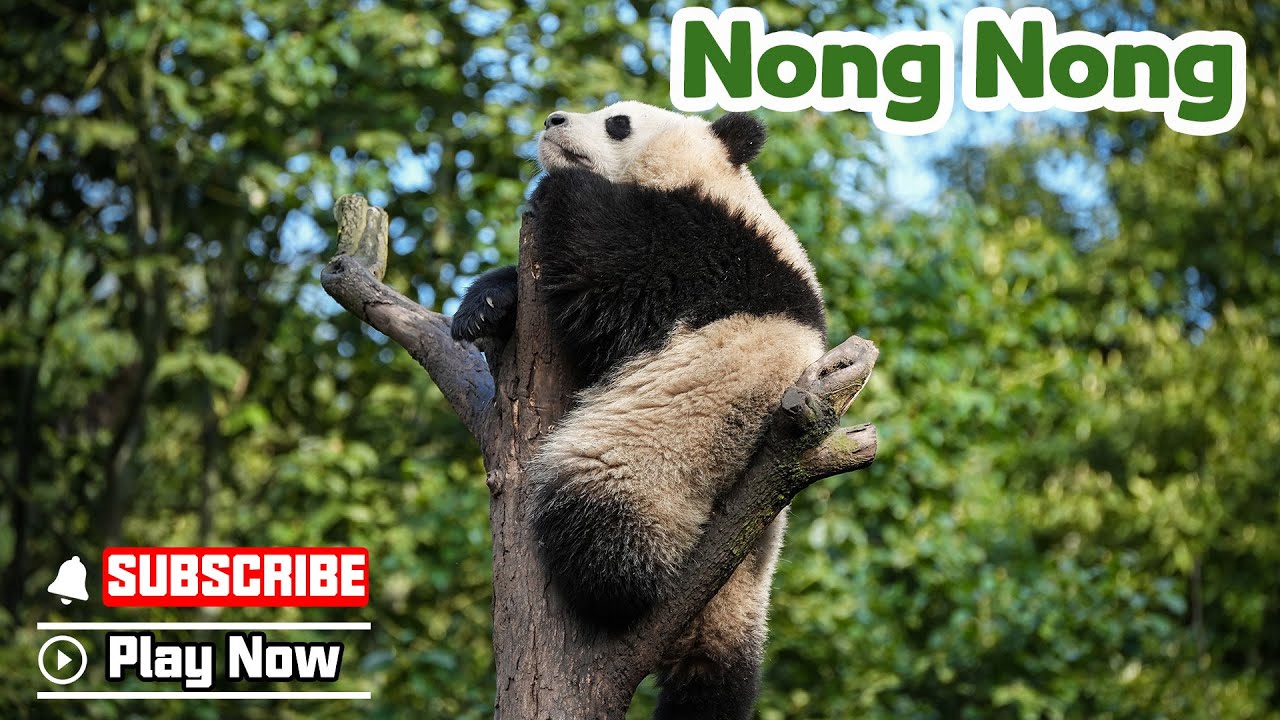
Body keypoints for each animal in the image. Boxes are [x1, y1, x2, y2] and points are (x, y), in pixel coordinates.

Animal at [452, 101, 827, 720]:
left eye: (618, 122)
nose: (553, 120)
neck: (715, 184)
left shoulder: (710, 250)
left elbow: (615, 269)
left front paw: (553, 187)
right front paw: (481, 307)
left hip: (662, 454)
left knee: (598, 511)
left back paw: (610, 585)